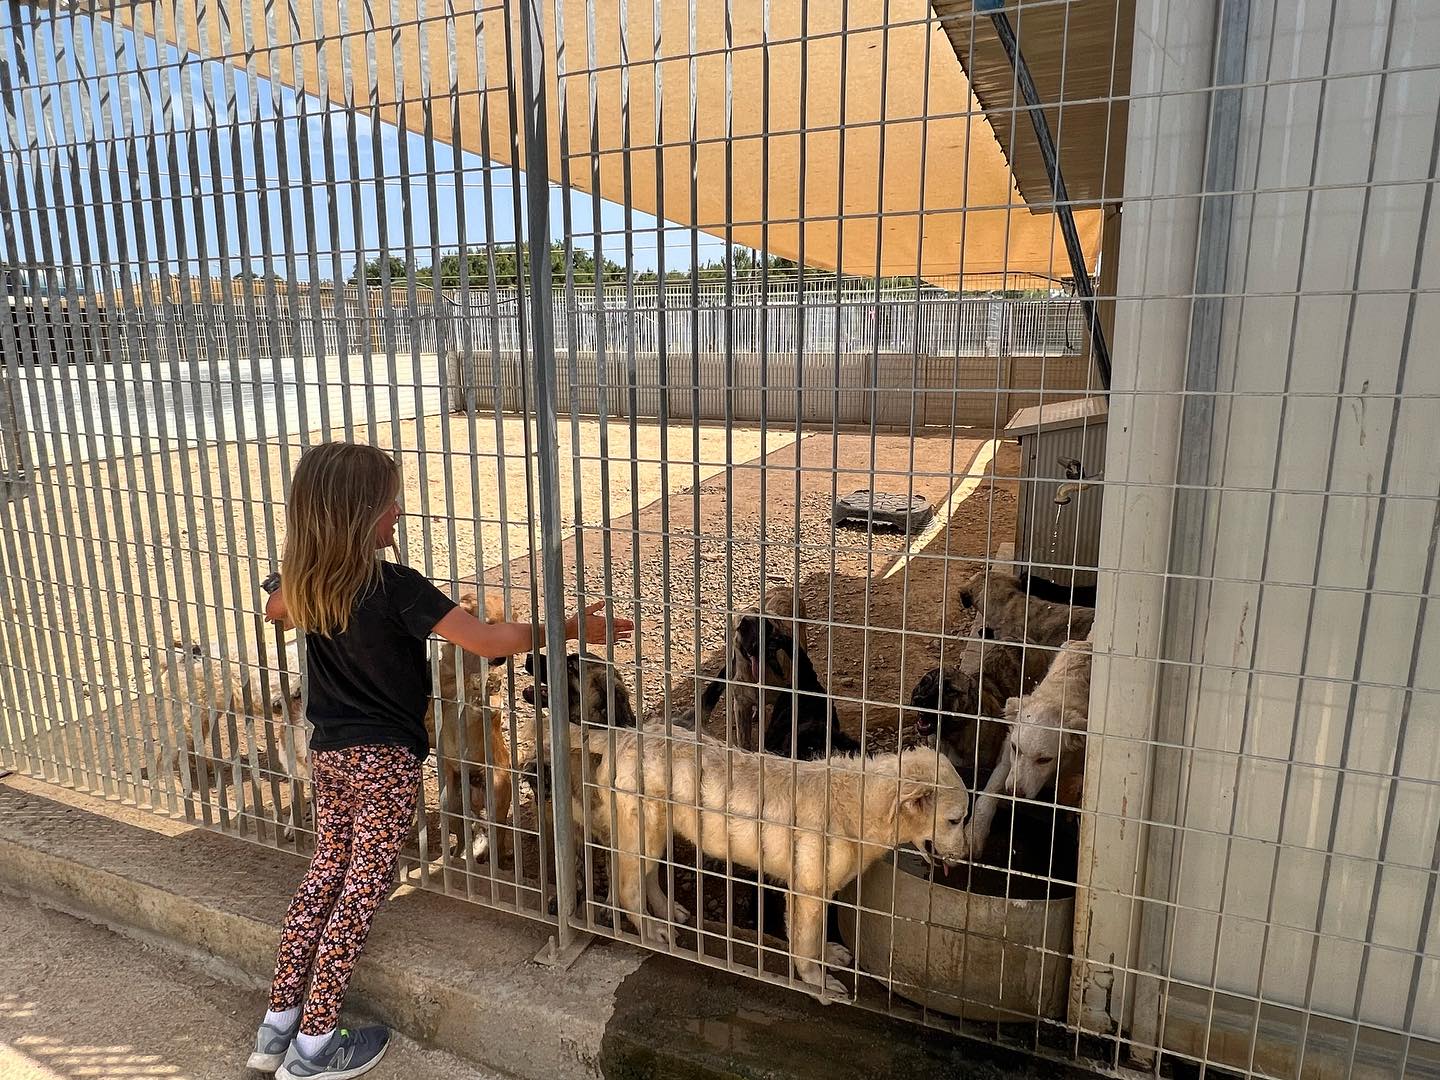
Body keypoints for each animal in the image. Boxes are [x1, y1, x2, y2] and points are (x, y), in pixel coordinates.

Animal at [590, 731, 973, 1002]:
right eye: (956, 820)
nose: (968, 856)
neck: (856, 806)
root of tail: (621, 735)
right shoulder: (806, 890)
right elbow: (803, 942)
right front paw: (818, 982)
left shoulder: (820, 893)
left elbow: (815, 934)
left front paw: (828, 954)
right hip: (645, 831)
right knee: (628, 887)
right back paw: (651, 929)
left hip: (657, 834)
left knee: (646, 876)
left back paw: (667, 912)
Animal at [967, 633, 1088, 852]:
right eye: (1016, 748)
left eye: (1045, 759)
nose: (1014, 792)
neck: (1058, 700)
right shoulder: (1008, 748)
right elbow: (992, 787)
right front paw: (974, 832)